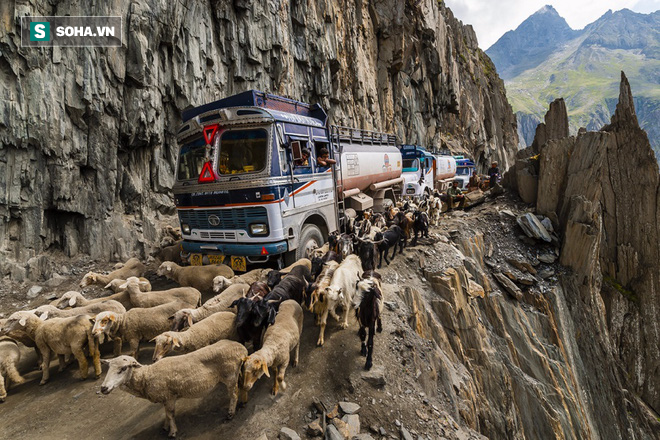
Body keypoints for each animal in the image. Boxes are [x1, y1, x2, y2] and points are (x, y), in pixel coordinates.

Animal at [100, 338, 248, 434]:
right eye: (109, 368)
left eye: (123, 368)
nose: (103, 388)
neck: (146, 376)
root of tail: (242, 348)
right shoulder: (165, 398)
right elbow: (166, 413)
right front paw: (165, 427)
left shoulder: (169, 397)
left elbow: (170, 414)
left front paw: (172, 432)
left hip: (230, 375)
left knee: (233, 394)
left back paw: (230, 414)